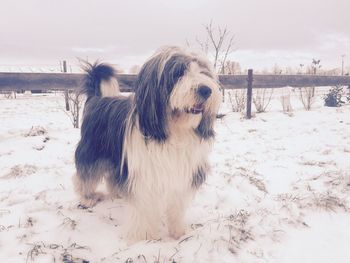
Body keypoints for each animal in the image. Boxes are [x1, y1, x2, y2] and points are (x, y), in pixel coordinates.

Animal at [74, 47, 221, 243]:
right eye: (178, 73)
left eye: (204, 72)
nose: (206, 90)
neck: (173, 131)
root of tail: (97, 99)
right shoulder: (143, 176)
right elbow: (143, 209)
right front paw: (143, 238)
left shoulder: (181, 174)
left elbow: (176, 206)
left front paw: (179, 233)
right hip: (92, 151)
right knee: (85, 174)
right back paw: (87, 197)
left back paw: (117, 193)